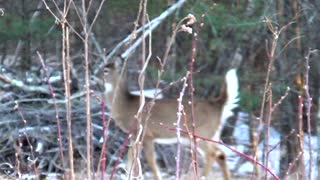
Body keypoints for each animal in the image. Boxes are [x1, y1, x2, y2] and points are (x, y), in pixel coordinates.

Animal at [104, 58, 239, 179]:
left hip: (202, 134)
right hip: (212, 136)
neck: (125, 106)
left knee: (212, 155)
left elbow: (151, 160)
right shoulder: (133, 136)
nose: (99, 76)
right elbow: (130, 157)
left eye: (105, 70)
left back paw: (203, 177)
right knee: (221, 155)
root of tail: (218, 105)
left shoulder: (146, 134)